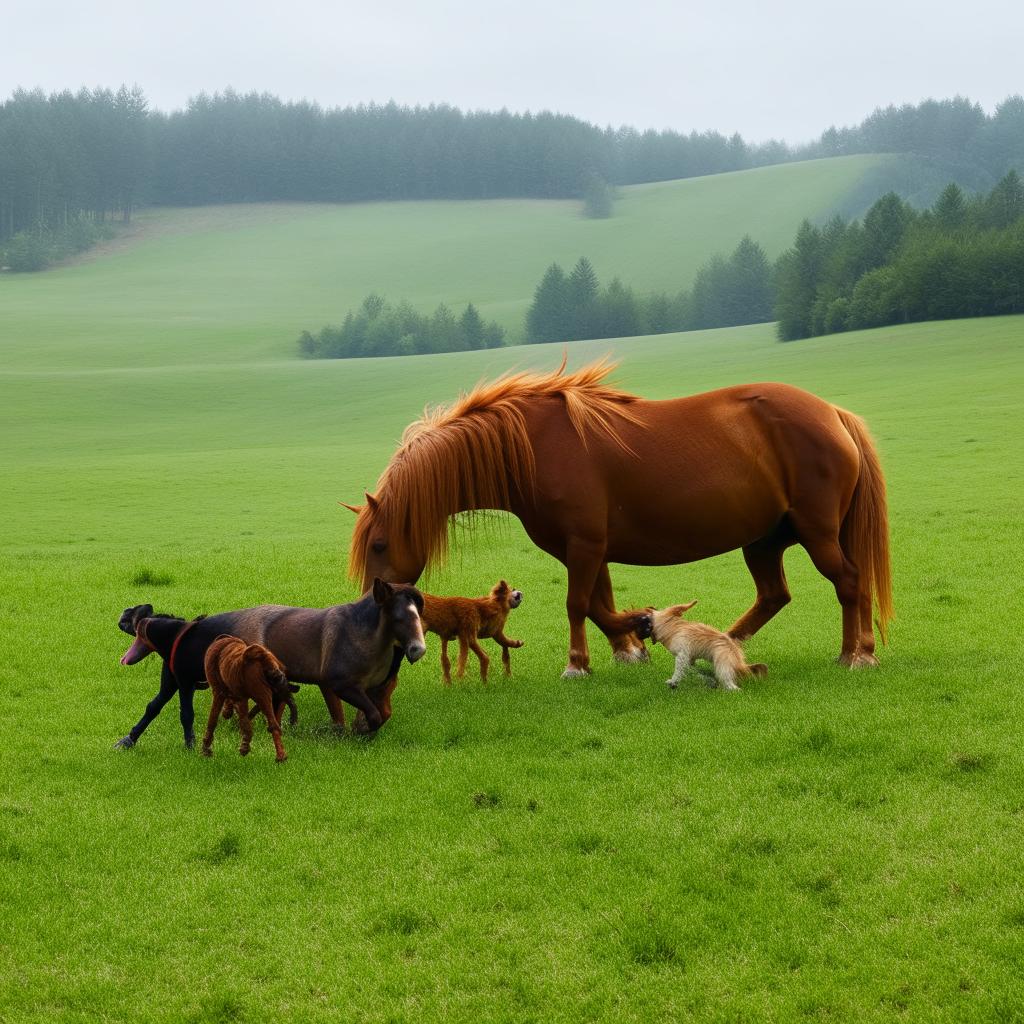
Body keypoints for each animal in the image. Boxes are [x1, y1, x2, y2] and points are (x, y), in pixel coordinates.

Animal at [198, 630, 296, 761]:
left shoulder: (220, 691)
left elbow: (213, 719)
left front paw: (206, 750)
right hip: (264, 695)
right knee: (273, 724)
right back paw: (281, 757)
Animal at [344, 356, 888, 675]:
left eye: (379, 544)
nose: (371, 608)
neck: (535, 445)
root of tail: (833, 414)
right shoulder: (586, 548)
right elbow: (597, 602)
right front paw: (631, 642)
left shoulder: (584, 544)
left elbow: (577, 604)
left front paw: (581, 661)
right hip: (765, 540)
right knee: (776, 595)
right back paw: (727, 642)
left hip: (816, 533)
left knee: (849, 582)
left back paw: (858, 653)